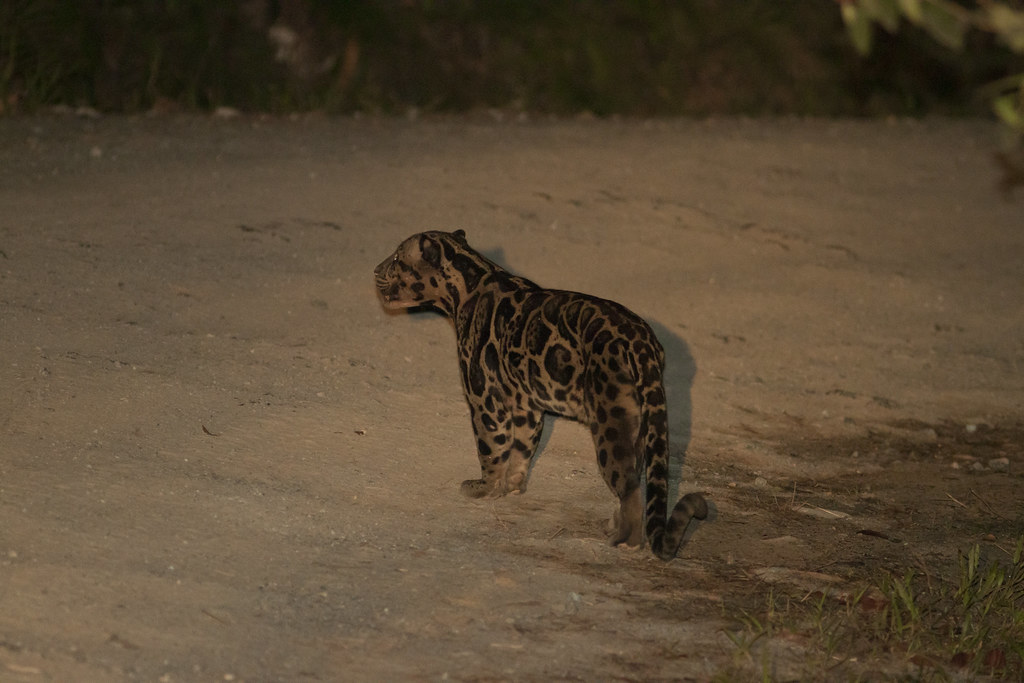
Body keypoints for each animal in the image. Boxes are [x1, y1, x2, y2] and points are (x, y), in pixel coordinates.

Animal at [374, 229, 707, 560]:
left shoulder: (484, 397)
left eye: (396, 258)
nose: (375, 270)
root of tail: (641, 341)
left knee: (630, 488)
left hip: (610, 422)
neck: (465, 285)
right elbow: (522, 447)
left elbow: (490, 448)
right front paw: (513, 486)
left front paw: (484, 488)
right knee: (635, 477)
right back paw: (616, 526)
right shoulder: (526, 405)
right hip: (638, 425)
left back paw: (626, 540)